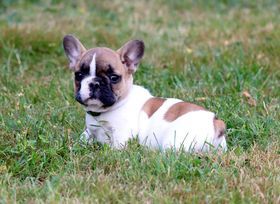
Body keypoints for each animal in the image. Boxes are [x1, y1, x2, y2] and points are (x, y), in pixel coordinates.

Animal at [62, 34, 226, 151]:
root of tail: (216, 123)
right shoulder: (90, 131)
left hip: (174, 141)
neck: (103, 113)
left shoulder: (121, 136)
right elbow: (83, 138)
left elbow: (113, 148)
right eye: (79, 75)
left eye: (114, 78)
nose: (94, 83)